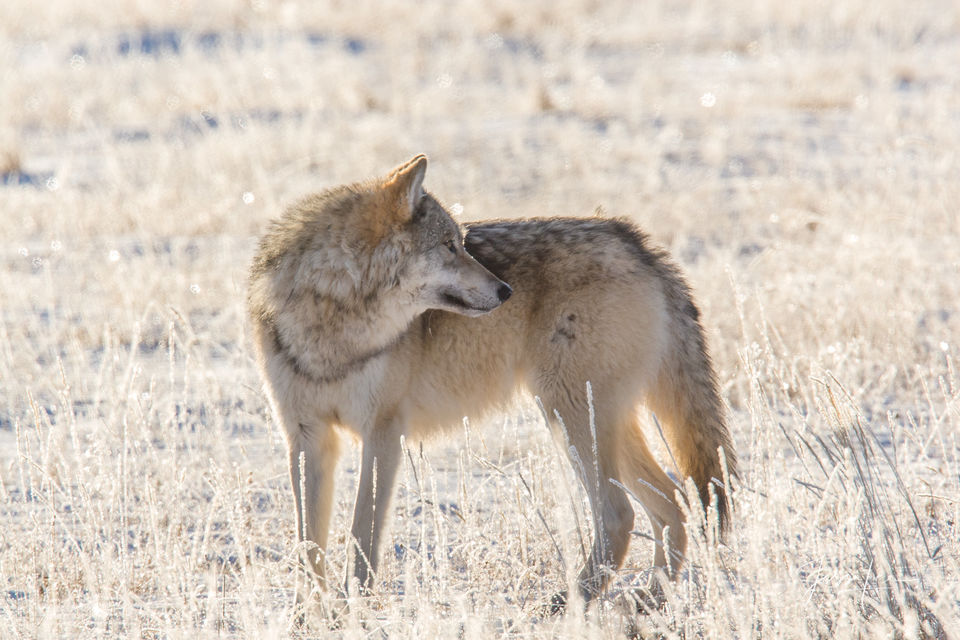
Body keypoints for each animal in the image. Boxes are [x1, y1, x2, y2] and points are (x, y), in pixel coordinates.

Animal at [247, 154, 736, 610]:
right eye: (449, 246)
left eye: (462, 243)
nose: (506, 291)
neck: (334, 325)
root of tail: (633, 238)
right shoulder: (307, 438)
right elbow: (308, 543)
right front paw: (308, 616)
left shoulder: (383, 433)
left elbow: (362, 536)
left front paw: (354, 611)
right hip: (598, 421)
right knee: (674, 503)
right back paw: (649, 601)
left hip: (569, 417)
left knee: (622, 514)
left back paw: (571, 603)